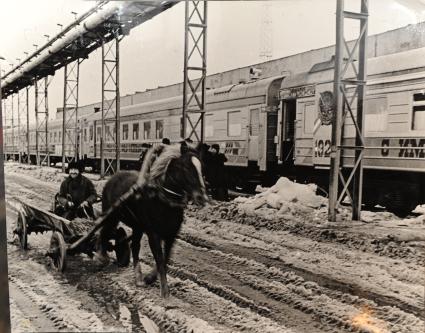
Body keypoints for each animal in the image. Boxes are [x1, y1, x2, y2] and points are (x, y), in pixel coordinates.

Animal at [96, 142, 209, 296]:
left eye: (202, 167)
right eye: (185, 167)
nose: (202, 197)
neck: (163, 201)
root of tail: (113, 177)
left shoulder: (171, 234)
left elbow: (166, 259)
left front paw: (150, 278)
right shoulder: (153, 234)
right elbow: (160, 259)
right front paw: (165, 292)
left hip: (137, 226)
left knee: (134, 246)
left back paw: (138, 277)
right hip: (112, 216)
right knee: (104, 232)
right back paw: (102, 256)